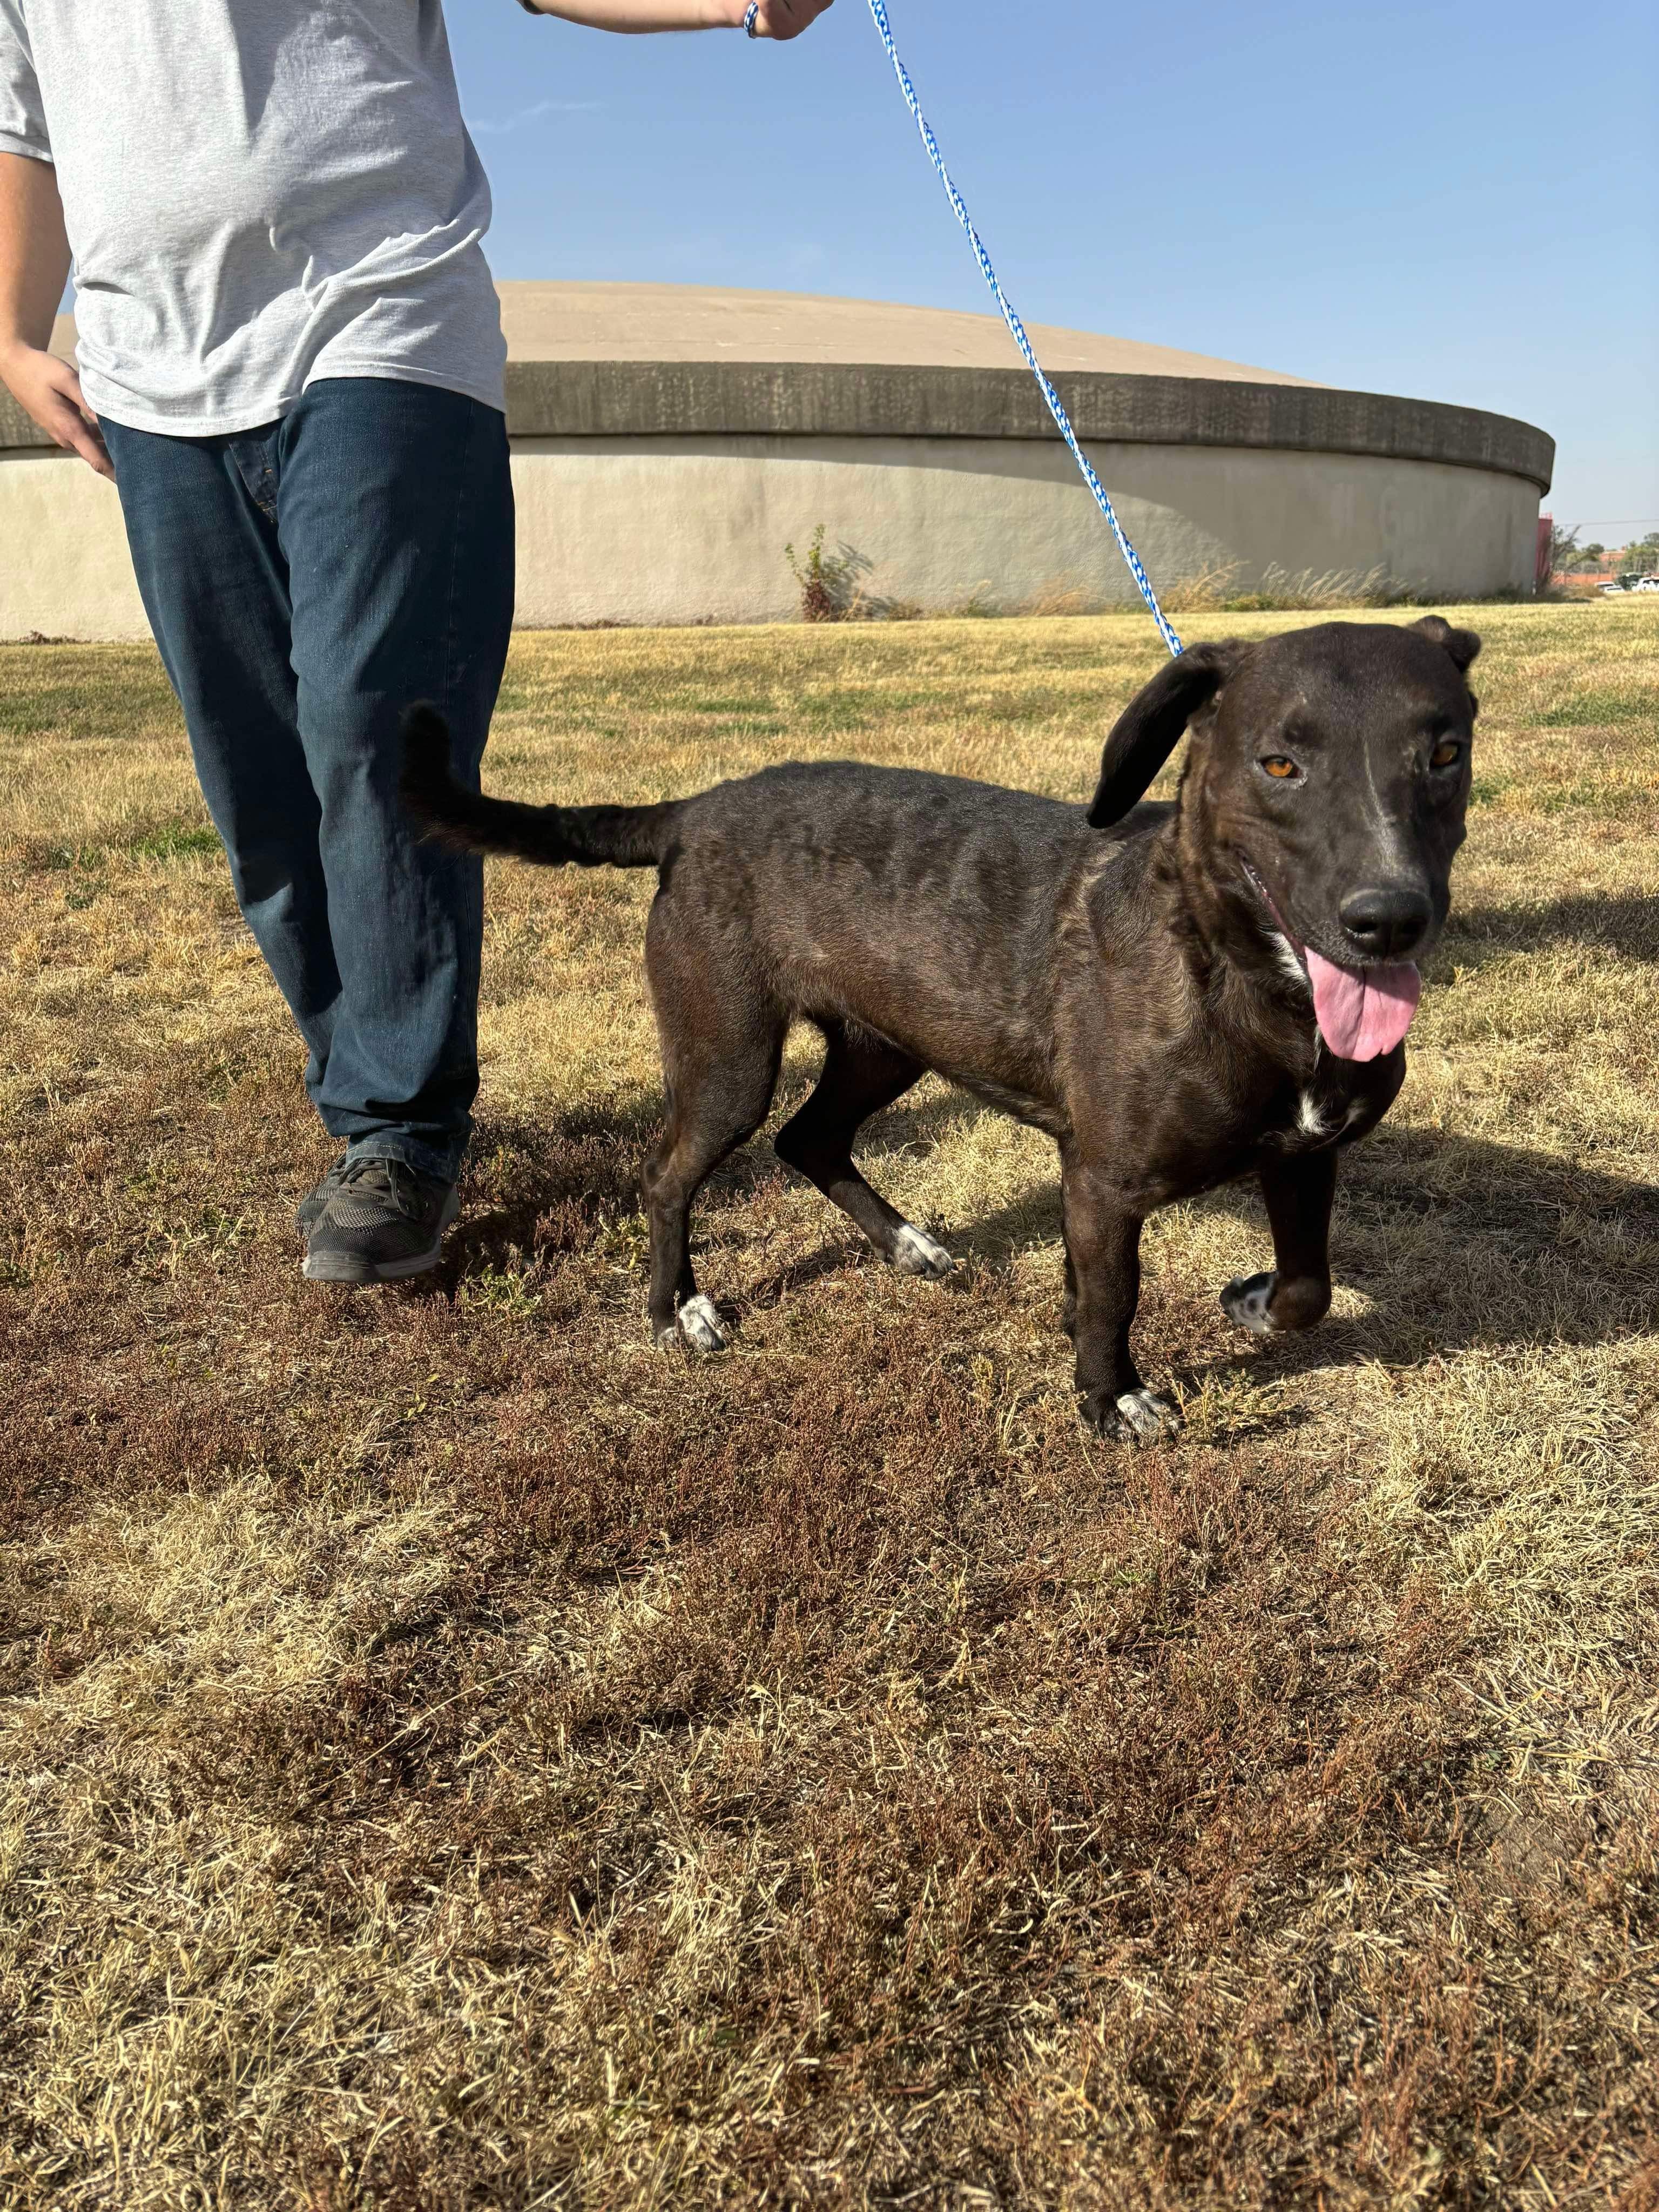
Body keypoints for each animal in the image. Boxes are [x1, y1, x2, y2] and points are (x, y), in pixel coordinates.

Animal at [400, 615, 1478, 1442]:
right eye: (1280, 764)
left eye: (1445, 754)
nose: (1387, 918)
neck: (1237, 979)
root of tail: (691, 811)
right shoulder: (1105, 1181)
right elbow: (1115, 1299)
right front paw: (1111, 1400)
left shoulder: (1304, 1155)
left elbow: (1308, 1287)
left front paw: (1245, 1303)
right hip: (728, 1057)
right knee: (670, 1174)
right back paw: (679, 1310)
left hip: (887, 1046)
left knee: (809, 1138)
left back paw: (906, 1245)